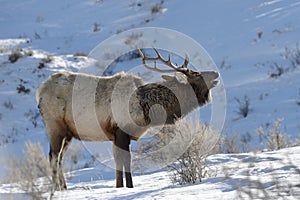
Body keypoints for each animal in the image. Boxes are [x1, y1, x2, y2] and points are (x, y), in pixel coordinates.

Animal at [36, 47, 219, 190]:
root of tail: (39, 92)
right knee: (53, 156)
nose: (215, 72)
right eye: (196, 74)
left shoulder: (119, 135)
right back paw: (58, 188)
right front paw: (129, 186)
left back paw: (63, 187)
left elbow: (119, 161)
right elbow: (126, 160)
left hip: (68, 132)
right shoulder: (121, 130)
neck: (148, 109)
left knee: (59, 158)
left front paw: (119, 186)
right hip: (55, 126)